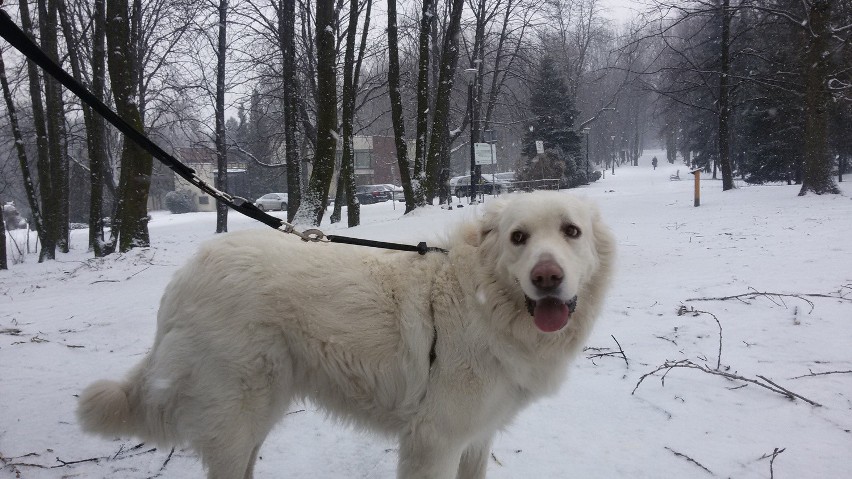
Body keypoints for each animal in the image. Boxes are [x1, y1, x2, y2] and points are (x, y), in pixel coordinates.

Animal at [78, 191, 612, 479]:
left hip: (256, 416)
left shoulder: (476, 438)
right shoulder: (434, 441)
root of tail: (187, 273)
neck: (481, 300)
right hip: (237, 416)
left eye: (571, 232)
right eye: (519, 238)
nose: (547, 277)